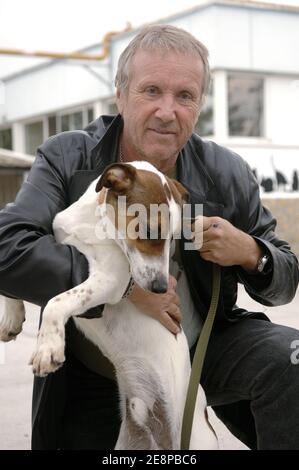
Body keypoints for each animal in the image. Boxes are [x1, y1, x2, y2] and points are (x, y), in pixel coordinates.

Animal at [0, 162, 218, 452]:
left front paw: (48, 348)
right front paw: (12, 319)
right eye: (150, 231)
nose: (161, 288)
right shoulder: (53, 245)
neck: (96, 225)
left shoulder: (111, 280)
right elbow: (17, 277)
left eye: (173, 239)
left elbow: (56, 302)